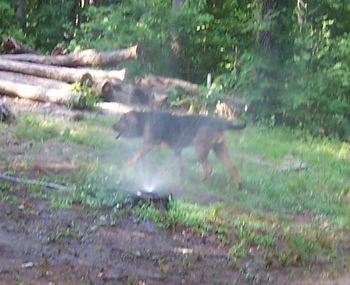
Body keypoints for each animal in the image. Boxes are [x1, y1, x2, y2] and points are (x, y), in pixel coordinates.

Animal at [113, 110, 245, 186]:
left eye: (121, 119)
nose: (112, 126)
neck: (144, 120)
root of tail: (220, 123)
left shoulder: (148, 145)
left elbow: (134, 157)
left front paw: (123, 167)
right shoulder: (177, 149)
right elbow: (179, 165)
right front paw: (177, 178)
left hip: (200, 149)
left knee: (208, 168)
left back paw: (200, 181)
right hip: (220, 149)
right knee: (232, 166)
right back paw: (237, 185)